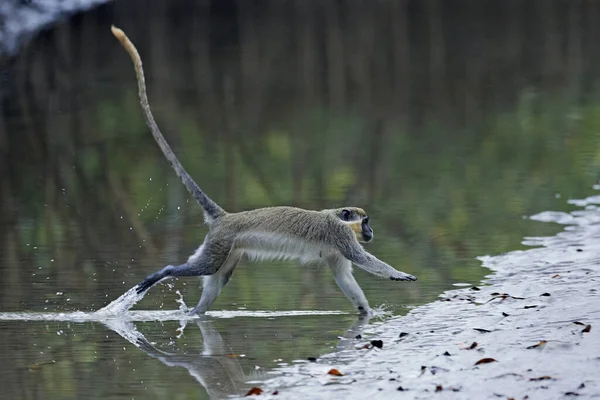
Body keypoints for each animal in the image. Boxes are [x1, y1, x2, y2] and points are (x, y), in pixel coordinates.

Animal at [109, 26, 418, 318]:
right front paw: (399, 274)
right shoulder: (340, 237)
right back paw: (163, 273)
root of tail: (226, 217)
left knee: (215, 280)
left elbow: (345, 279)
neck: (336, 217)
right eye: (365, 222)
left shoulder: (335, 253)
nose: (371, 231)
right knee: (203, 267)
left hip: (228, 249)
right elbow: (363, 260)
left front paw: (368, 312)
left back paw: (195, 313)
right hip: (219, 243)